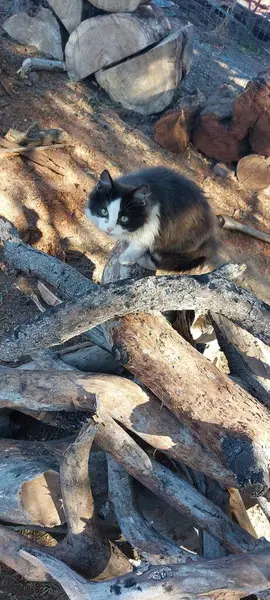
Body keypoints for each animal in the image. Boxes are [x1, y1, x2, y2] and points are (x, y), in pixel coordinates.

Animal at [85, 168, 218, 274]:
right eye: (104, 212)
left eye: (124, 218)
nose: (109, 229)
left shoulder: (155, 221)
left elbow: (140, 242)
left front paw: (127, 258)